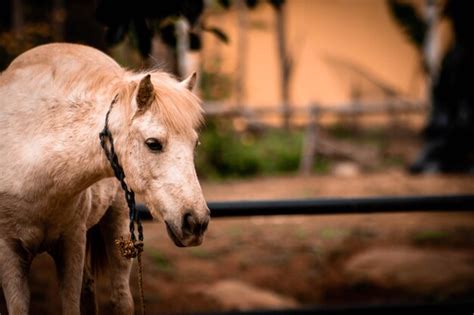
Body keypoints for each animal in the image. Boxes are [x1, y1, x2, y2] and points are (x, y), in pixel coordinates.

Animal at [0, 43, 209, 314]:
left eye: (195, 144)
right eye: (153, 144)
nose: (196, 223)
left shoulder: (72, 243)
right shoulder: (8, 251)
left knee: (120, 297)